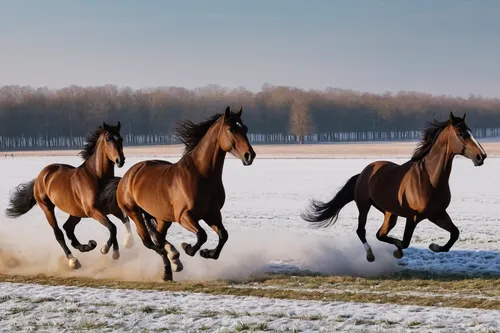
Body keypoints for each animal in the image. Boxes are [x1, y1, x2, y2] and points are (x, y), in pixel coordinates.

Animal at [4, 121, 133, 268]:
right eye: (108, 139)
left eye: (121, 139)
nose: (120, 160)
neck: (97, 177)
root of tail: (41, 176)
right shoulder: (93, 211)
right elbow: (112, 226)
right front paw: (106, 249)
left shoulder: (110, 208)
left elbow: (122, 221)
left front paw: (127, 243)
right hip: (47, 207)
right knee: (59, 233)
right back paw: (73, 260)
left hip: (75, 212)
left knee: (68, 228)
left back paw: (88, 246)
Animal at [103, 106, 256, 280]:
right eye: (231, 129)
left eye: (245, 128)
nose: (249, 155)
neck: (202, 175)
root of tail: (126, 178)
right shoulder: (184, 216)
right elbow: (202, 235)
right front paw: (188, 247)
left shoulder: (212, 214)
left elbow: (223, 235)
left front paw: (206, 253)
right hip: (134, 212)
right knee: (150, 242)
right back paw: (173, 261)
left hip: (162, 218)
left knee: (158, 238)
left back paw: (169, 269)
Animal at [302, 111, 486, 262]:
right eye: (461, 134)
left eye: (470, 131)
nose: (481, 156)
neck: (430, 179)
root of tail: (364, 172)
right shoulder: (413, 216)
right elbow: (405, 242)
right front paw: (398, 251)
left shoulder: (437, 213)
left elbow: (454, 234)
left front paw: (434, 246)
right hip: (364, 205)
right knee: (362, 231)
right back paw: (370, 255)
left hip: (390, 213)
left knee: (380, 234)